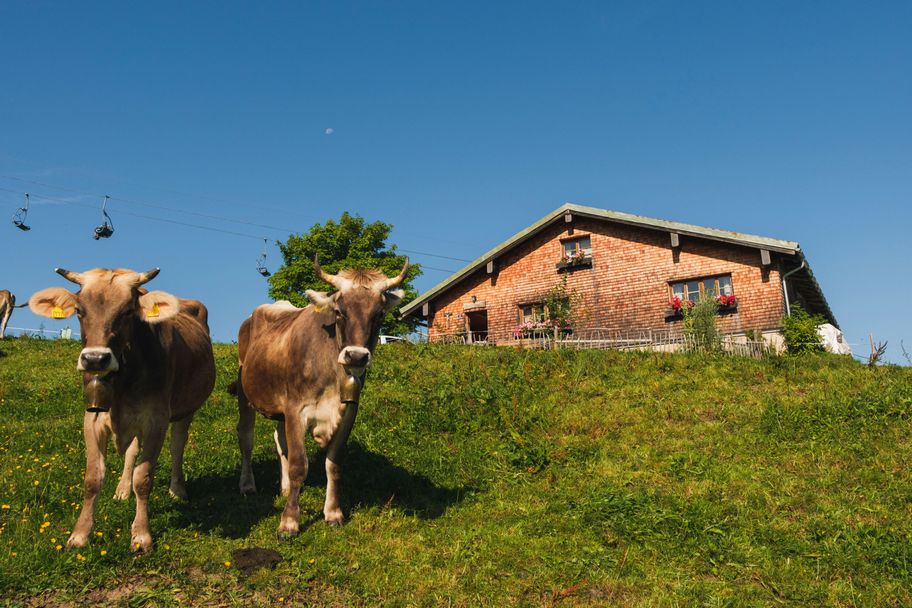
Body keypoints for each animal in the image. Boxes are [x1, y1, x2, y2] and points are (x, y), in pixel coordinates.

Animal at [29, 267, 215, 552]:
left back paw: (177, 490)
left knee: (177, 446)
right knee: (132, 451)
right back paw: (123, 489)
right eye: (79, 310)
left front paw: (141, 535)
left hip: (187, 409)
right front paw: (80, 534)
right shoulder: (93, 418)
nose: (95, 359)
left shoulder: (156, 420)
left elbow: (144, 477)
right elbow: (93, 478)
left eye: (128, 311)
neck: (124, 381)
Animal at [234, 256, 408, 538]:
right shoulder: (296, 409)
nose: (356, 356)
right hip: (245, 393)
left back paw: (284, 487)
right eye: (338, 311)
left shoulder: (348, 410)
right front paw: (289, 522)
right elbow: (298, 465)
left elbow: (334, 464)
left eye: (379, 314)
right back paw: (248, 485)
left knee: (279, 439)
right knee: (246, 437)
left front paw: (333, 512)